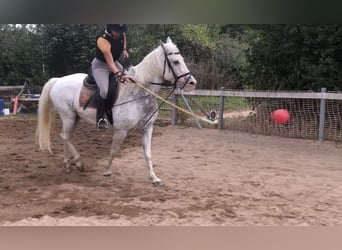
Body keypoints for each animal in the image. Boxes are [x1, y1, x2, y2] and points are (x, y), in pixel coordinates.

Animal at [36, 36, 196, 186]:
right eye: (176, 61)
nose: (192, 83)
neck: (137, 92)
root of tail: (58, 80)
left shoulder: (147, 128)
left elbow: (148, 154)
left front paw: (153, 178)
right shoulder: (121, 130)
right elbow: (114, 150)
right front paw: (107, 170)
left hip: (75, 117)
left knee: (66, 137)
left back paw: (68, 165)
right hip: (68, 116)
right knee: (65, 137)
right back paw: (79, 163)